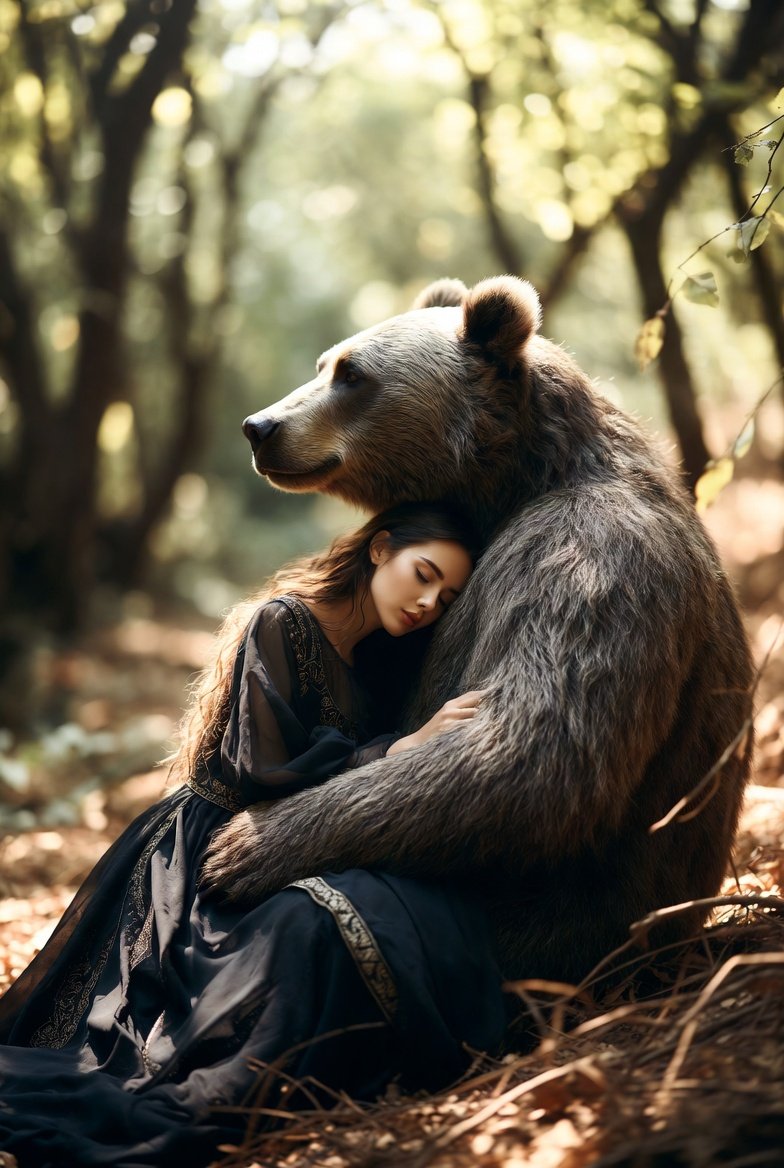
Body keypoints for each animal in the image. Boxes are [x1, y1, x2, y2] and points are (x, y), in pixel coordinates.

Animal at [201, 275, 753, 986]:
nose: (260, 427)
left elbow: (528, 757)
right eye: (323, 363)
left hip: (562, 922)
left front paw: (244, 843)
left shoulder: (586, 560)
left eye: (351, 372)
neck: (517, 479)